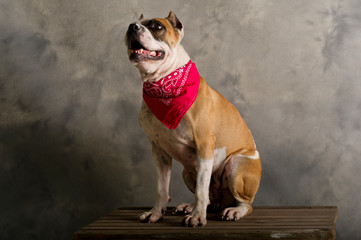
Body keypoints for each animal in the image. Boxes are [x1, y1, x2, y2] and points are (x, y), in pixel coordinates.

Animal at [125, 11, 260, 229]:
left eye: (157, 26)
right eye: (133, 23)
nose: (132, 27)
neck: (163, 83)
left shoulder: (204, 146)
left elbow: (201, 190)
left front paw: (197, 217)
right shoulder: (159, 151)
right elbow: (162, 188)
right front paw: (155, 213)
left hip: (236, 165)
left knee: (245, 204)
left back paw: (233, 210)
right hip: (187, 172)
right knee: (212, 198)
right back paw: (190, 206)